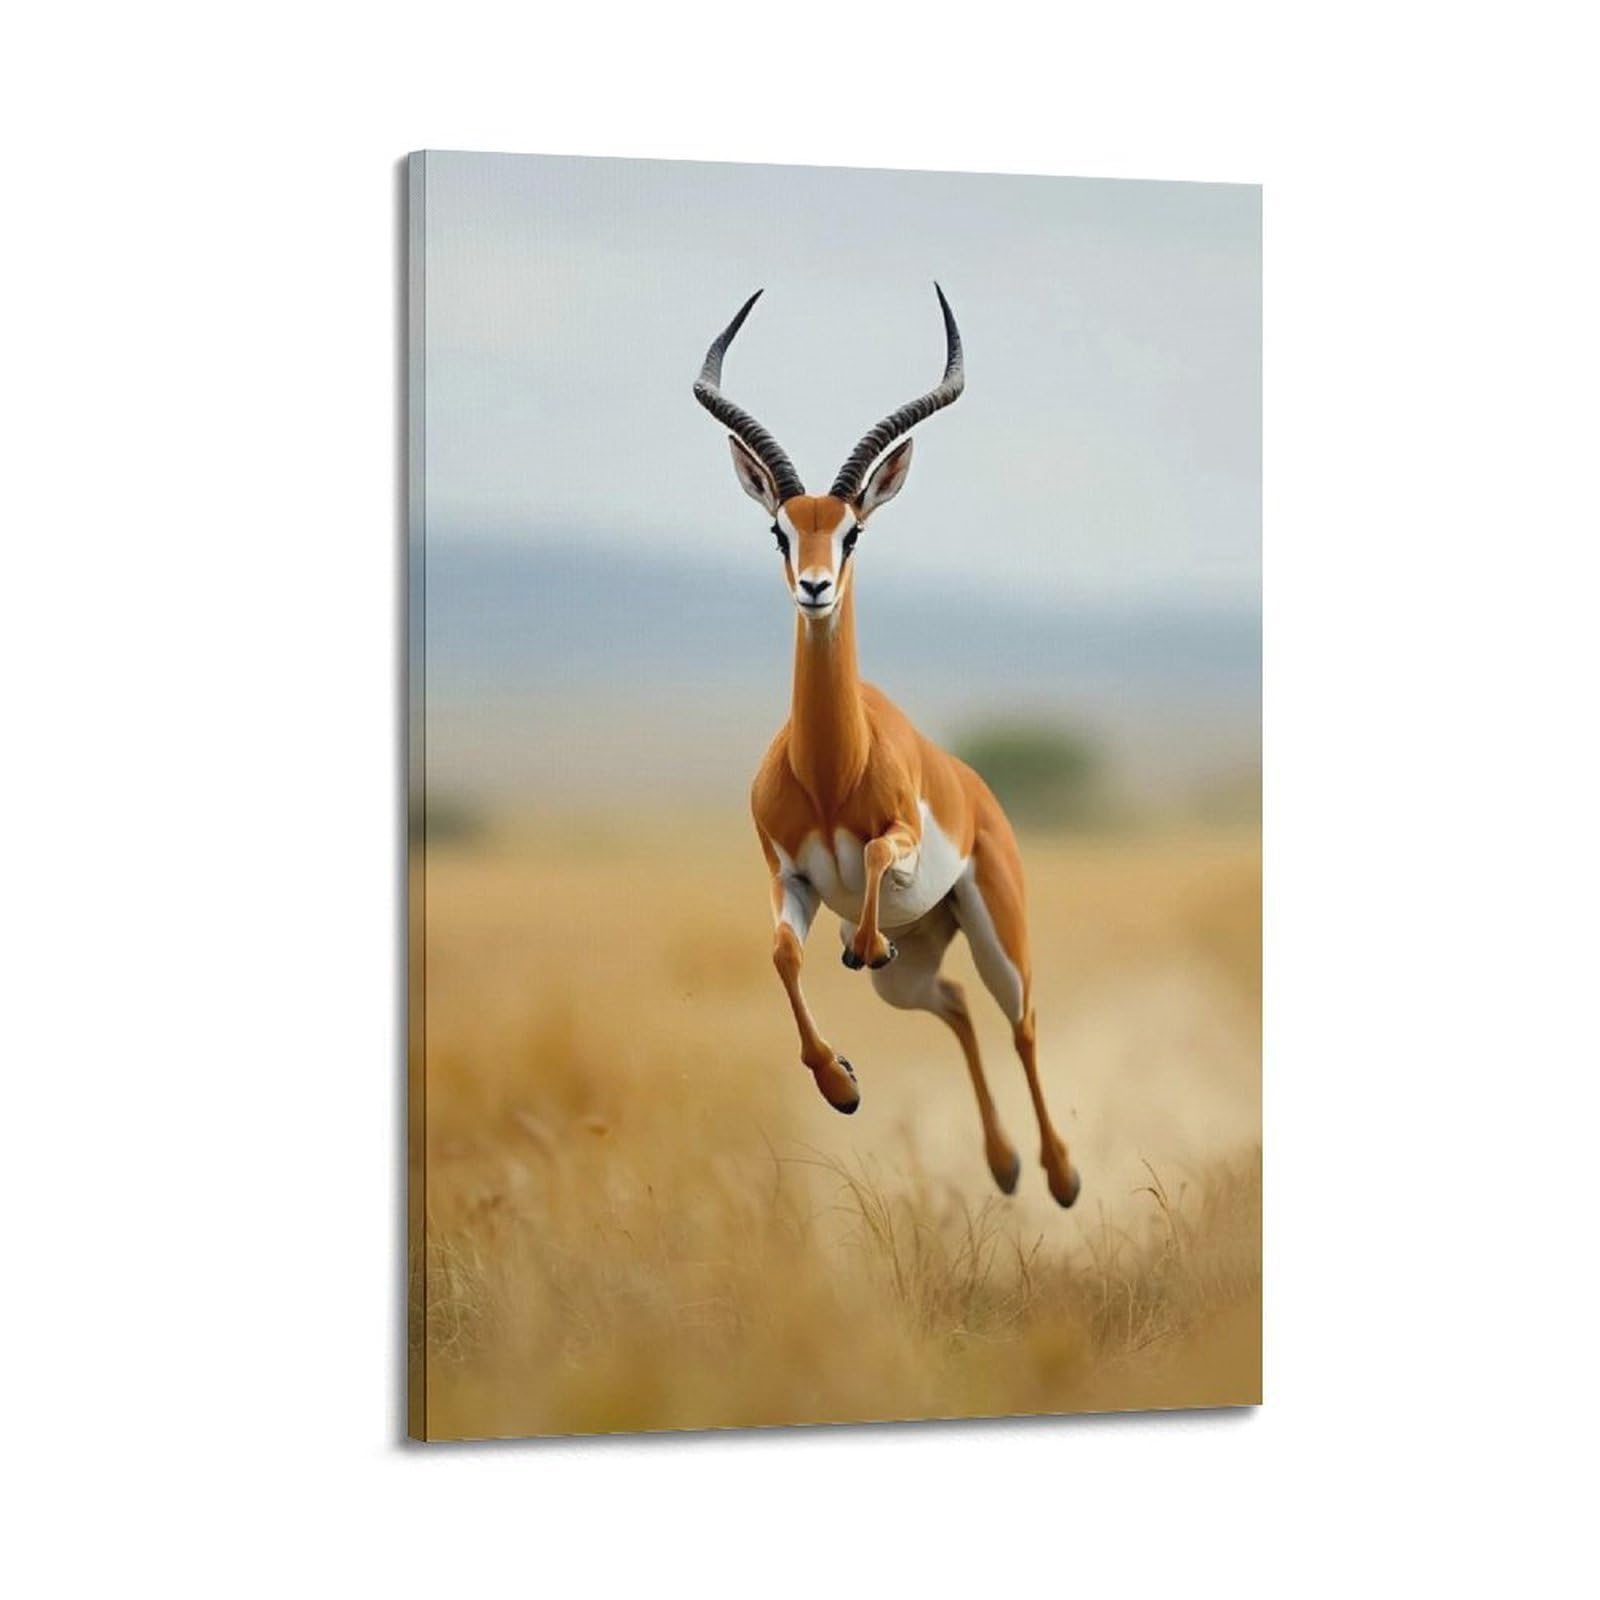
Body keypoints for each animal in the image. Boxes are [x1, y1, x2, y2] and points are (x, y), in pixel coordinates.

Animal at [692, 286, 1081, 1207]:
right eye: (781, 531)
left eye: (854, 532)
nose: (815, 587)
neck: (832, 771)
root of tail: (978, 791)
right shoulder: (788, 878)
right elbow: (781, 954)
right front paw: (840, 1084)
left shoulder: (893, 841)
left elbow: (872, 856)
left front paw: (863, 943)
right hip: (912, 976)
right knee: (955, 1002)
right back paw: (1002, 1165)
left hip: (996, 930)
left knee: (1021, 1020)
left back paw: (1058, 1174)